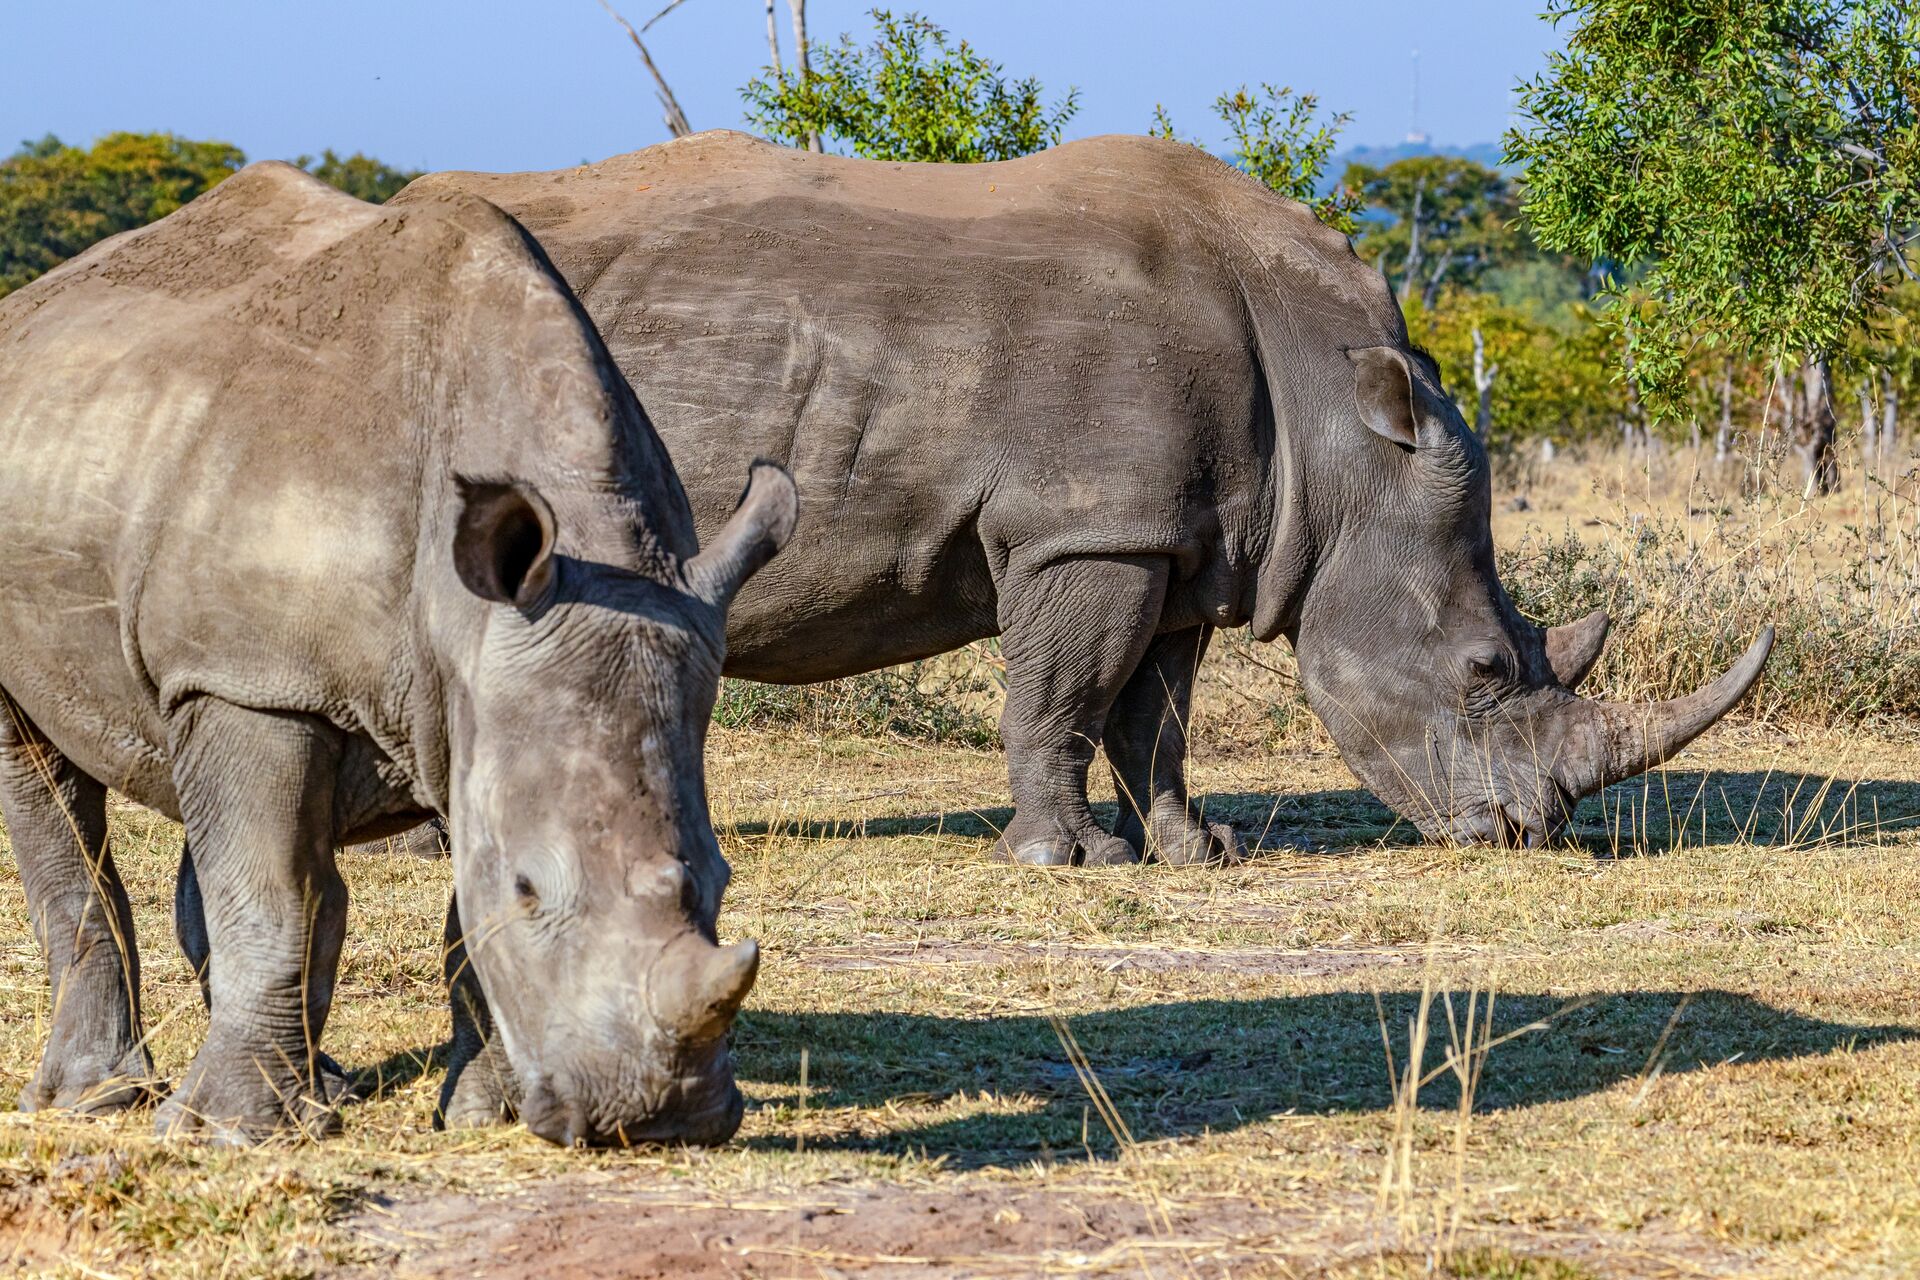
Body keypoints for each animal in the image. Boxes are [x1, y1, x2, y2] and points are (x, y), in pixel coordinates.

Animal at [0, 161, 794, 1146]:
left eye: (720, 882)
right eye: (530, 889)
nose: (654, 1120)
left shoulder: (472, 685)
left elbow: (447, 910)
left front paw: (481, 1116)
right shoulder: (257, 680)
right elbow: (271, 896)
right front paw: (221, 1134)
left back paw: (318, 1094)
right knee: (57, 773)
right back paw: (103, 1100)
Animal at [403, 132, 1771, 860]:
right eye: (1485, 668)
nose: (1528, 831)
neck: (1336, 429)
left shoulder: (1177, 539)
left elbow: (1152, 714)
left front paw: (1195, 851)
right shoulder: (1087, 529)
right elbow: (1063, 694)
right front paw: (1067, 857)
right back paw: (440, 843)